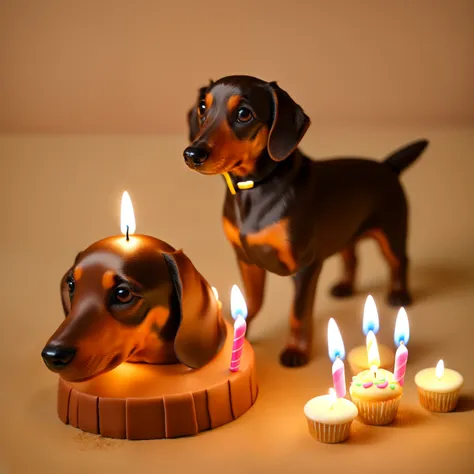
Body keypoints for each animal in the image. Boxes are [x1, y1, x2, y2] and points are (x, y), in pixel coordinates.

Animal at [184, 76, 430, 368]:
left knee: (399, 260)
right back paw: (345, 286)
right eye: (202, 108)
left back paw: (399, 293)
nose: (192, 154)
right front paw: (240, 333)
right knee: (351, 256)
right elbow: (251, 301)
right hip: (344, 231)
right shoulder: (246, 260)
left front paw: (296, 351)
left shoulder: (305, 266)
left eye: (244, 114)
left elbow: (298, 313)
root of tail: (387, 167)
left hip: (391, 230)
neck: (255, 188)